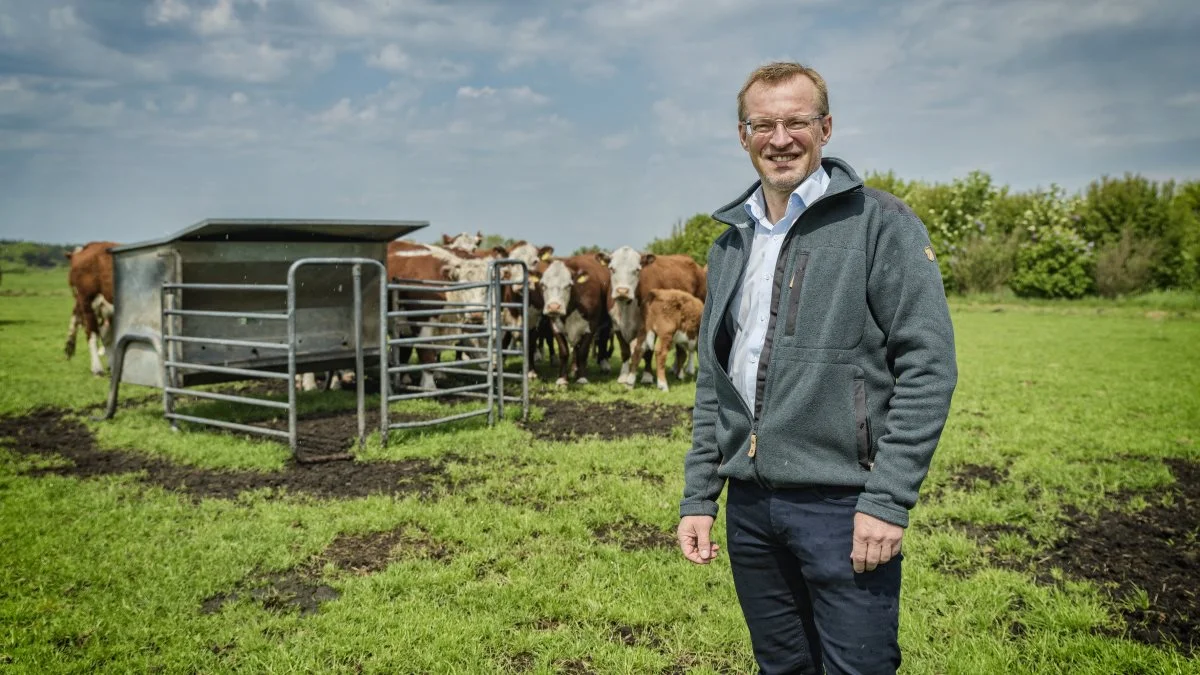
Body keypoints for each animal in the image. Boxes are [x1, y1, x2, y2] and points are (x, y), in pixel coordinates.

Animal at [535, 254, 609, 386]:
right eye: (543, 285)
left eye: (568, 285)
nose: (554, 306)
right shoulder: (554, 324)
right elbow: (564, 352)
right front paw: (562, 378)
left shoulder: (592, 325)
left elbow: (583, 351)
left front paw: (582, 378)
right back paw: (574, 368)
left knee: (603, 340)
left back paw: (603, 365)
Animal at [597, 246, 705, 384]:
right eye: (612, 268)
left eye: (637, 270)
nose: (622, 291)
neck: (626, 308)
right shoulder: (616, 326)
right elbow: (625, 351)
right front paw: (623, 376)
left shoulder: (648, 327)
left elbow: (648, 352)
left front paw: (647, 376)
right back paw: (676, 369)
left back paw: (685, 371)